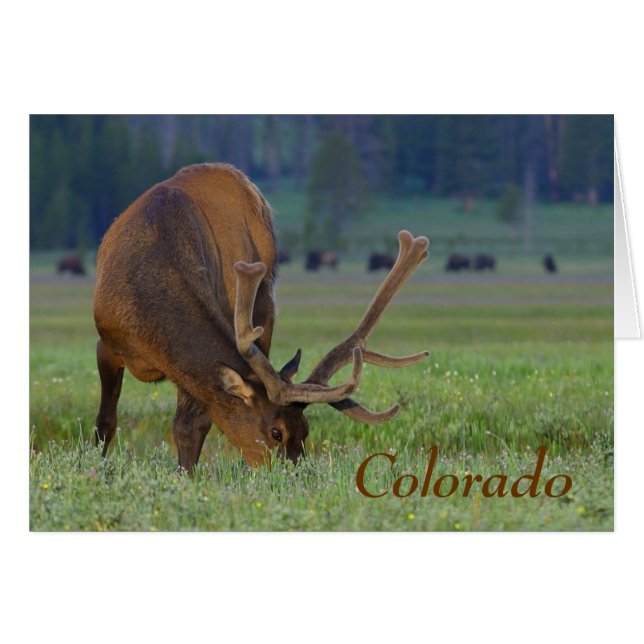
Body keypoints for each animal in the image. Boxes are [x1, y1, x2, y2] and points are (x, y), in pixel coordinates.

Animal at [93, 163, 430, 474]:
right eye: (276, 432)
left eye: (306, 430)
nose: (295, 474)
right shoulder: (106, 343)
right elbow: (106, 421)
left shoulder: (189, 374)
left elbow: (189, 427)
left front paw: (185, 475)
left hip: (264, 307)